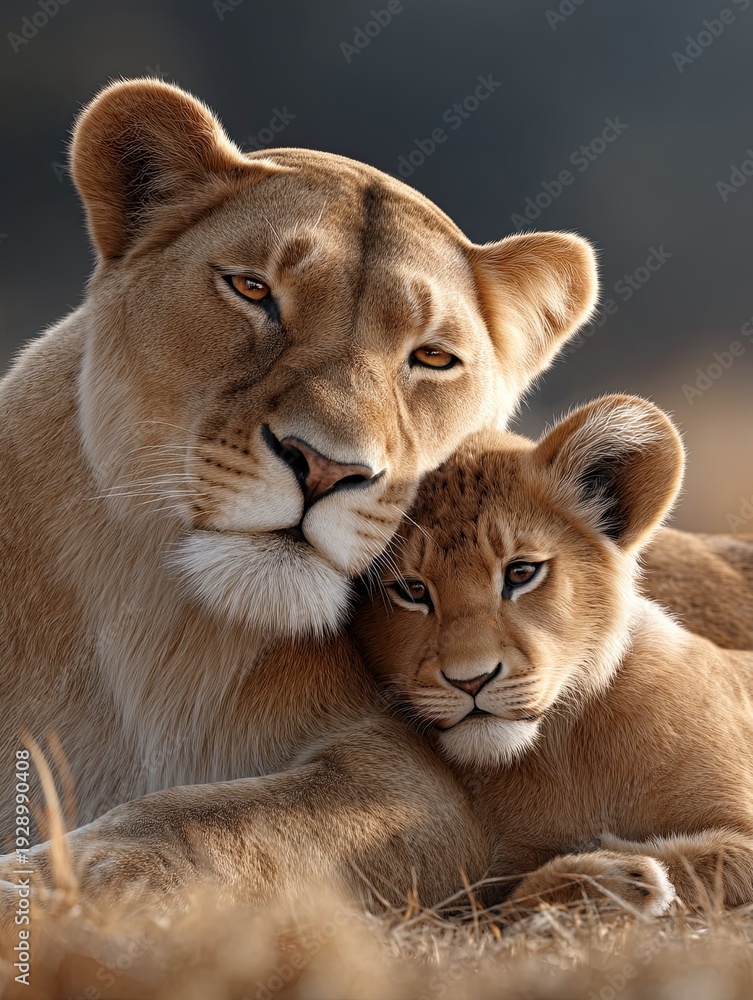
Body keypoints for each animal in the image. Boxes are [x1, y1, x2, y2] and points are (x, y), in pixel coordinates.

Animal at [0, 77, 602, 909]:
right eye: (253, 289)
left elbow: (217, 818)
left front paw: (53, 878)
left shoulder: (413, 782)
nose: (323, 468)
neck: (154, 640)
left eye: (432, 357)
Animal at [356, 395, 753, 912]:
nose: (470, 680)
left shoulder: (742, 830)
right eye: (411, 590)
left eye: (521, 572)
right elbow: (505, 903)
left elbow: (701, 863)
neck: (561, 752)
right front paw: (612, 874)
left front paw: (626, 871)